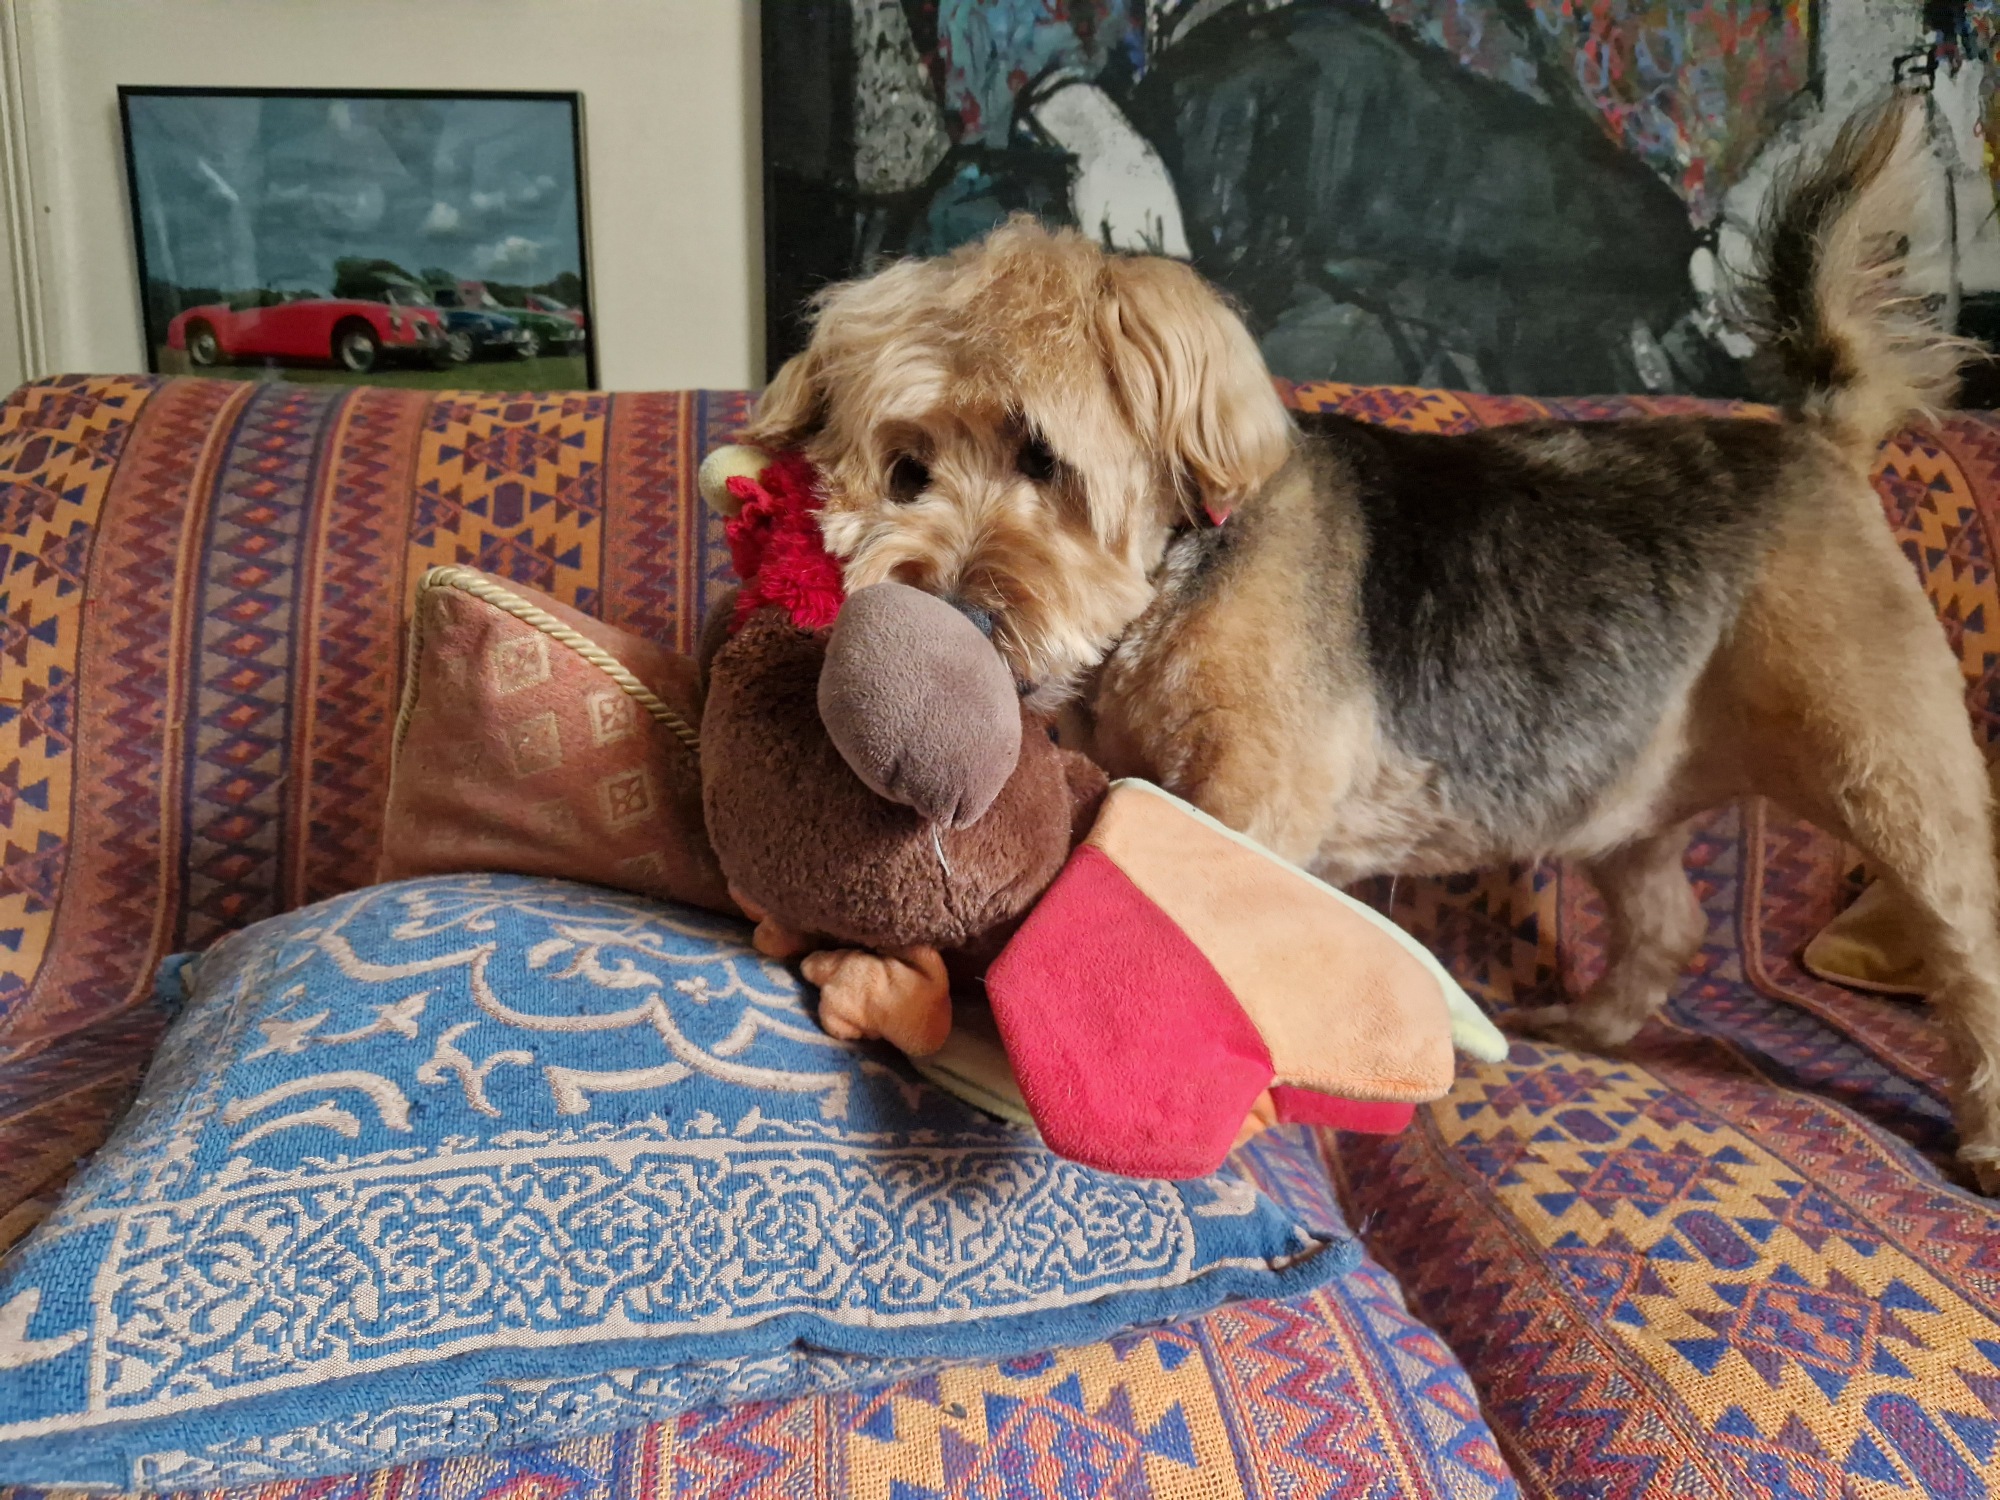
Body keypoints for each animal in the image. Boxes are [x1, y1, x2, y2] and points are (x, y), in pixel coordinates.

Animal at [741, 95, 2000, 1193]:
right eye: (903, 469)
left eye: (1041, 458)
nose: (945, 618)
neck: (1168, 593)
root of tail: (1815, 437)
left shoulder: (1247, 802)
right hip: (1625, 792)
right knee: (1669, 923)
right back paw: (1591, 1025)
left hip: (1886, 766)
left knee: (1964, 939)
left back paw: (1980, 1135)